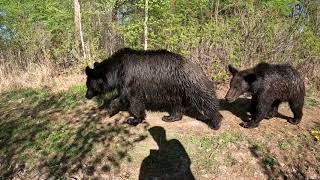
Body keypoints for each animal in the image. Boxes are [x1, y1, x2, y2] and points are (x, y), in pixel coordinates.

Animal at [84, 47, 222, 129]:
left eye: (88, 84)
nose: (87, 95)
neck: (117, 71)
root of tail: (195, 65)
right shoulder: (124, 83)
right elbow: (123, 97)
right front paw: (112, 109)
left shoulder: (130, 79)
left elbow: (133, 100)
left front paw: (132, 119)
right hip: (176, 88)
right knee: (177, 104)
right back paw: (169, 117)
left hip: (189, 83)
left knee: (204, 98)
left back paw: (215, 121)